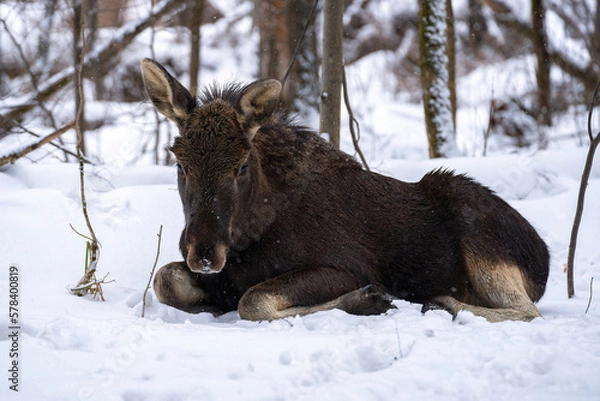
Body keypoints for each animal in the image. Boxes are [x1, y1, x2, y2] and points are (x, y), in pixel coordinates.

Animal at [139, 58, 548, 322]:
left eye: (241, 166)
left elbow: (253, 300)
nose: (204, 253)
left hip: (477, 233)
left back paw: (439, 302)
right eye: (180, 164)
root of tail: (542, 258)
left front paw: (366, 300)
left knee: (528, 311)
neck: (249, 235)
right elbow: (164, 279)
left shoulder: (349, 267)